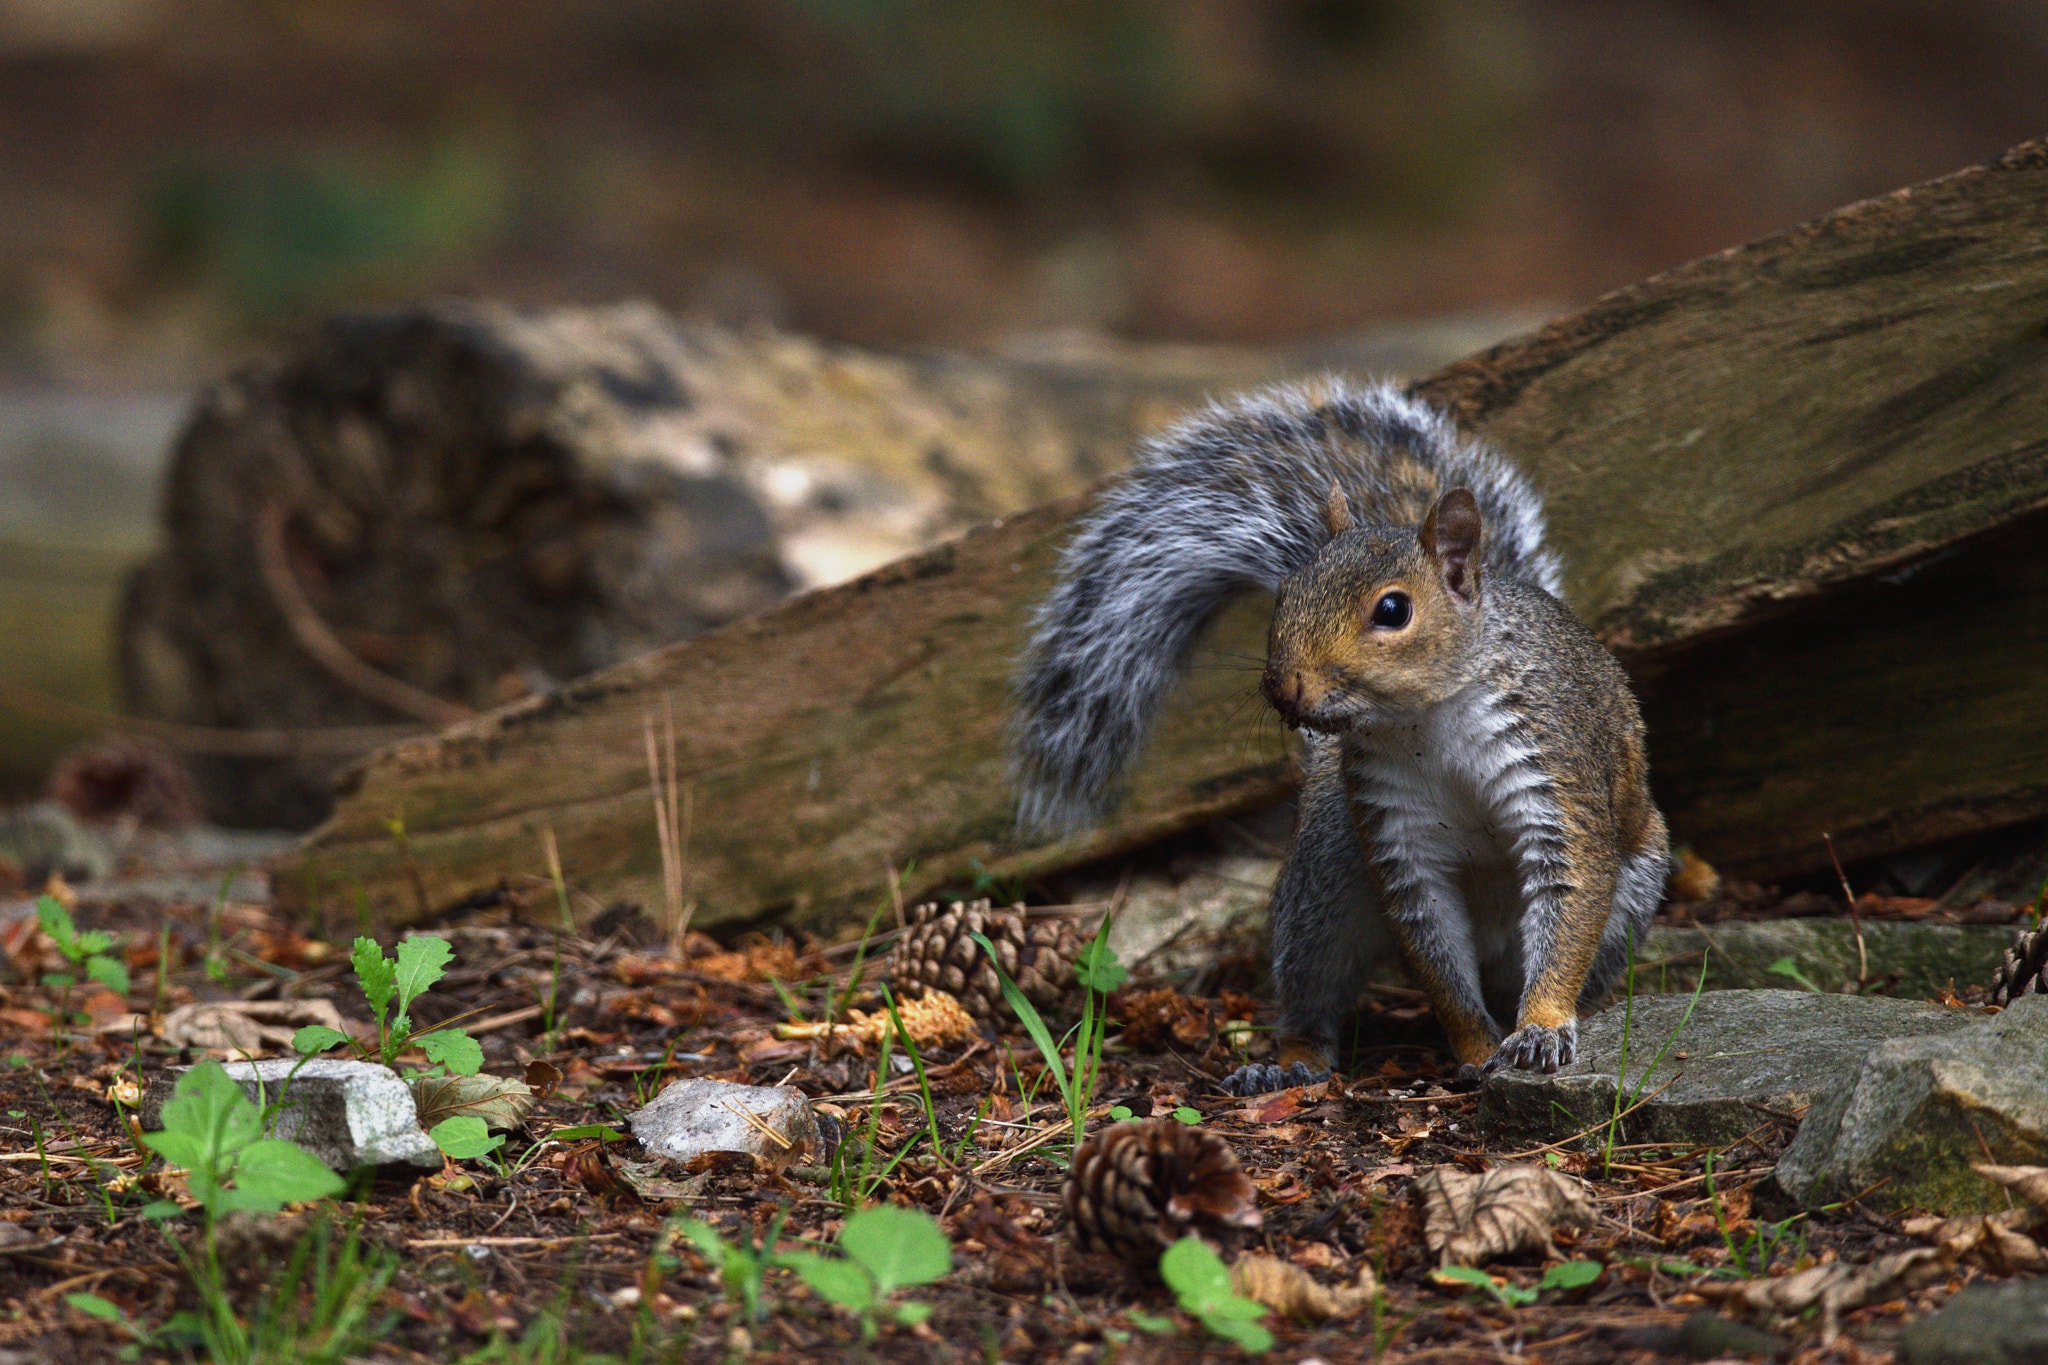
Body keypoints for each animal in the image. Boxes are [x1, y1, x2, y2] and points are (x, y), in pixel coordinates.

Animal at [1007, 376, 1662, 1096]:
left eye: (1393, 609)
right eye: (1286, 591)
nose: (1283, 688)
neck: (1427, 723)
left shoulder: (1554, 773)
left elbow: (1570, 898)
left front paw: (1541, 1027)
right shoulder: (1398, 837)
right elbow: (1437, 962)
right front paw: (1474, 1048)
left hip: (1633, 894)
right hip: (1321, 879)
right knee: (1316, 990)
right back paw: (1288, 1062)